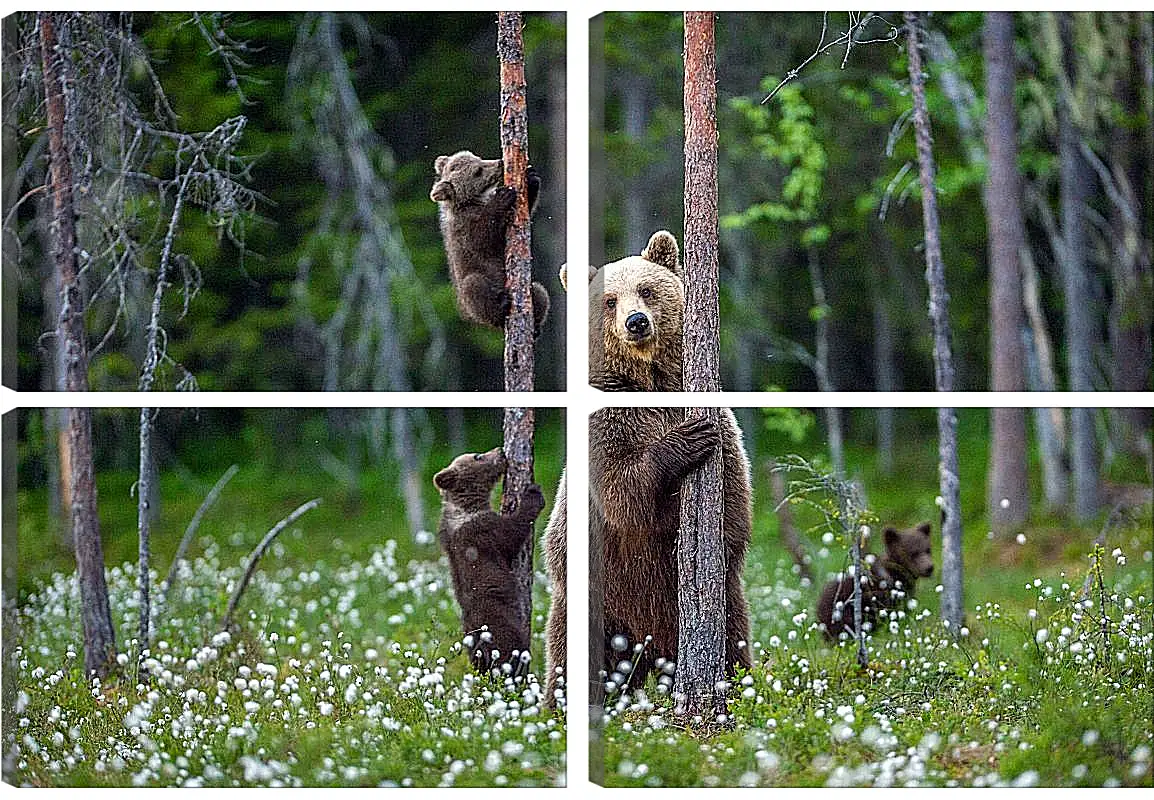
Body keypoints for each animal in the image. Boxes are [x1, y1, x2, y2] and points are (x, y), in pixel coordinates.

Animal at [429, 150, 549, 334]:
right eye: (477, 171)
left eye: (478, 158)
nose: (500, 162)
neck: (472, 202)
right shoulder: (464, 227)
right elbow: (482, 238)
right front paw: (503, 196)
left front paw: (531, 178)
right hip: (470, 292)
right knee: (474, 287)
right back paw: (501, 306)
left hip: (531, 289)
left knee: (539, 291)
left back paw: (536, 326)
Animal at [433, 445, 546, 678]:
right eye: (477, 456)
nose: (501, 450)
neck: (468, 506)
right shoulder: (483, 532)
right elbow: (511, 533)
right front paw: (533, 494)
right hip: (501, 626)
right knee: (511, 652)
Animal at [542, 229, 757, 697]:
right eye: (609, 300)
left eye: (646, 289)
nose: (636, 321)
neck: (649, 379)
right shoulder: (607, 421)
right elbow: (622, 491)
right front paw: (686, 441)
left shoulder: (719, 419)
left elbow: (735, 498)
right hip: (592, 600)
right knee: (566, 655)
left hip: (722, 609)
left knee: (734, 640)